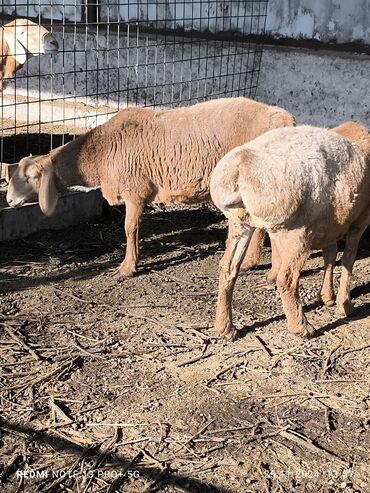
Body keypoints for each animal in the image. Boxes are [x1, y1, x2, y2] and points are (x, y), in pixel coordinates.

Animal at [5, 96, 294, 276]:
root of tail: (286, 119)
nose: (8, 201)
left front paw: (127, 268)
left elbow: (129, 228)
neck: (97, 156)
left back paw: (253, 264)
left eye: (30, 177)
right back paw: (252, 262)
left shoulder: (135, 190)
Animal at [210, 121, 370, 340]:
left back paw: (225, 327)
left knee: (228, 266)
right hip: (294, 230)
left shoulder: (329, 224)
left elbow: (331, 254)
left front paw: (327, 296)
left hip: (240, 222)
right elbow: (348, 259)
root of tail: (239, 168)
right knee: (286, 279)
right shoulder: (359, 221)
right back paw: (302, 328)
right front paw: (345, 305)